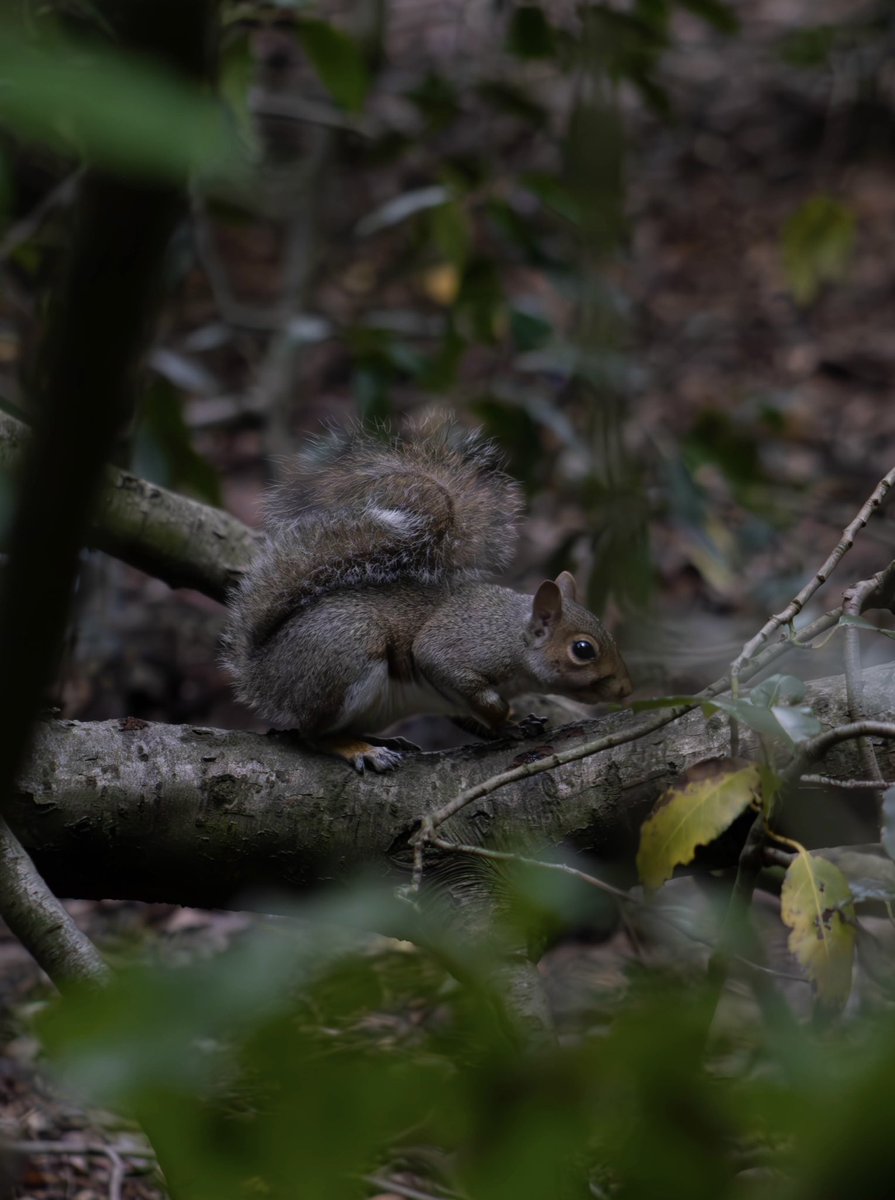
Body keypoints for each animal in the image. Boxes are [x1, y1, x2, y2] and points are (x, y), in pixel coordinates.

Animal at [222, 418, 632, 772]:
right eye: (583, 649)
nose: (626, 689)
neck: (513, 634)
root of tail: (263, 674)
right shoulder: (462, 647)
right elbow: (446, 666)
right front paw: (504, 715)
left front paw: (514, 725)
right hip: (345, 655)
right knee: (311, 734)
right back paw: (359, 749)